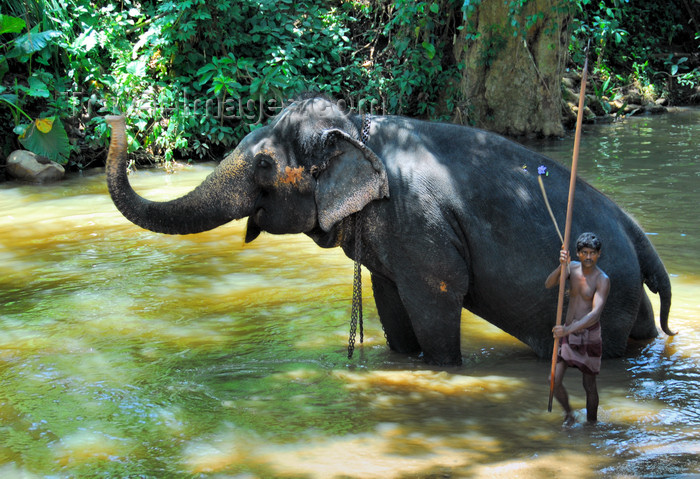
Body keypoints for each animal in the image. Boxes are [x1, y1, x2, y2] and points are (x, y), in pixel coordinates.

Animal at [105, 96, 672, 368]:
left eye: (265, 164)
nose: (115, 117)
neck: (358, 131)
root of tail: (636, 231)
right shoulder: (394, 248)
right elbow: (390, 302)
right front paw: (399, 360)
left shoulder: (421, 229)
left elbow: (437, 301)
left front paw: (442, 368)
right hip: (626, 295)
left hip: (606, 292)